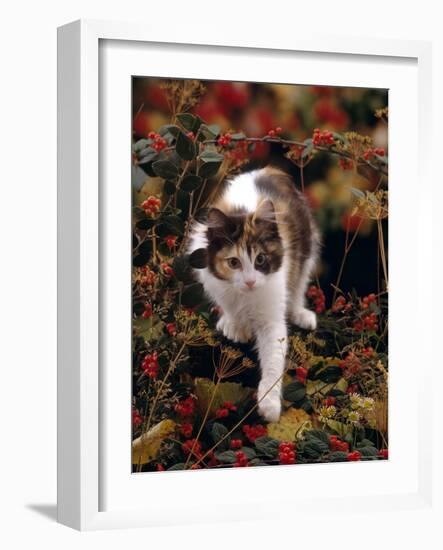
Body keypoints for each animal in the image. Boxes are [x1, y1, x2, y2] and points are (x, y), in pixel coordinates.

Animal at [189, 167, 320, 422]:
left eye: (260, 259)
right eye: (233, 262)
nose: (250, 281)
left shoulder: (272, 314)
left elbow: (273, 359)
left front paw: (269, 404)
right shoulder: (214, 281)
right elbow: (229, 306)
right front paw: (235, 325)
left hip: (306, 247)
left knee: (298, 284)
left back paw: (300, 313)